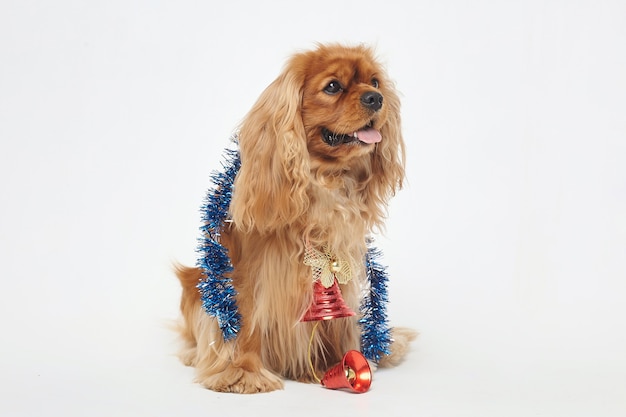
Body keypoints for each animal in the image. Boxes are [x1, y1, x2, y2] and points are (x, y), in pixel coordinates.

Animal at [176, 44, 414, 392]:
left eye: (375, 82)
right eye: (333, 86)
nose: (375, 98)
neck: (322, 178)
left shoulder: (337, 267)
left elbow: (338, 322)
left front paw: (337, 363)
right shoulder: (248, 274)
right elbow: (245, 323)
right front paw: (244, 372)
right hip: (196, 286)